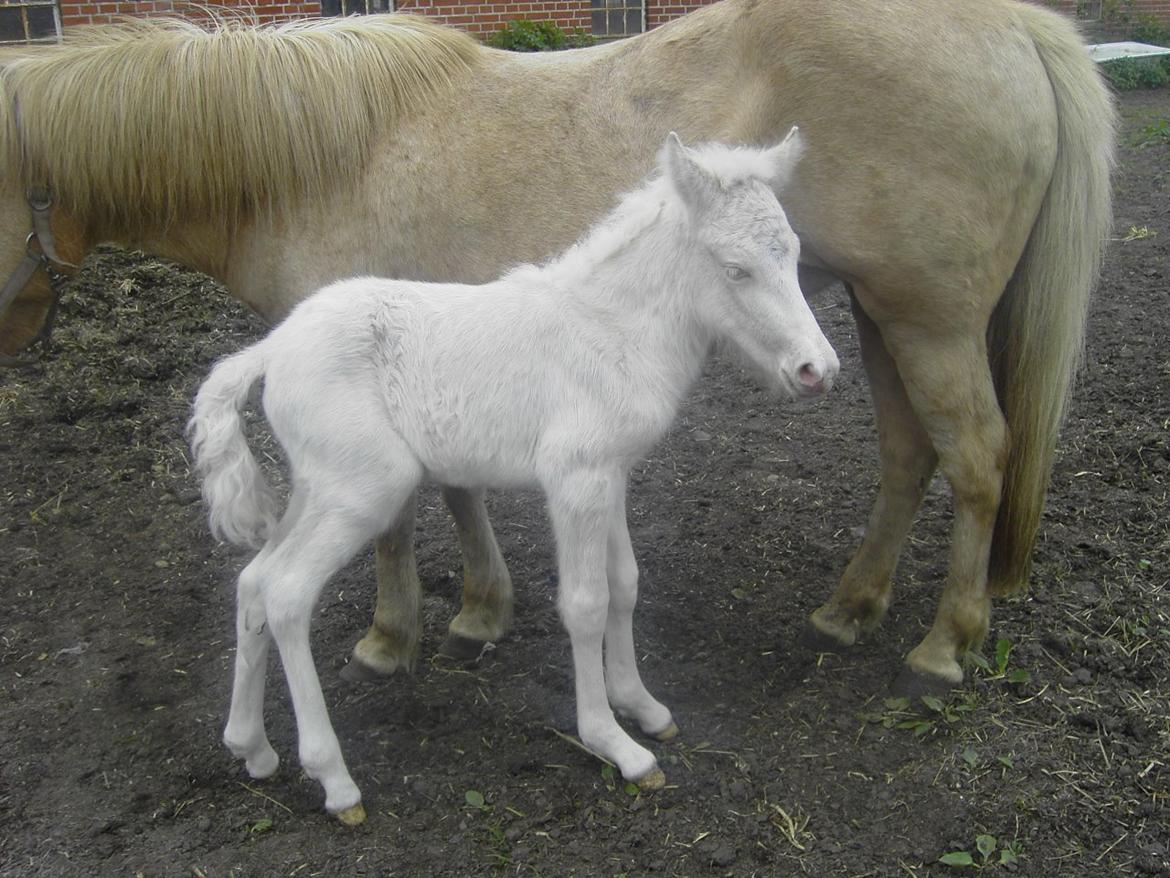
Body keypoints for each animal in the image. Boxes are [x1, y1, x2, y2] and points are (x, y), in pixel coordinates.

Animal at [0, 3, 1113, 693]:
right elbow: (457, 488)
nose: (14, 341)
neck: (318, 155)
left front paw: (390, 635)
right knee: (909, 452)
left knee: (977, 459)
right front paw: (483, 609)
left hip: (929, 322)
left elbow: (398, 523)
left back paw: (943, 642)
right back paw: (851, 606)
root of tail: (1013, 25)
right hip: (884, 320)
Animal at [187, 130, 837, 824]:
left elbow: (625, 585)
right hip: (364, 491)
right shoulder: (575, 478)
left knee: (253, 584)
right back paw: (334, 781)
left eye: (795, 254)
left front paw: (642, 706)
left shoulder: (609, 476)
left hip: (319, 488)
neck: (612, 331)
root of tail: (272, 349)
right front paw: (614, 743)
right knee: (286, 593)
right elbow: (586, 603)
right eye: (735, 268)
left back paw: (251, 748)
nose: (817, 369)